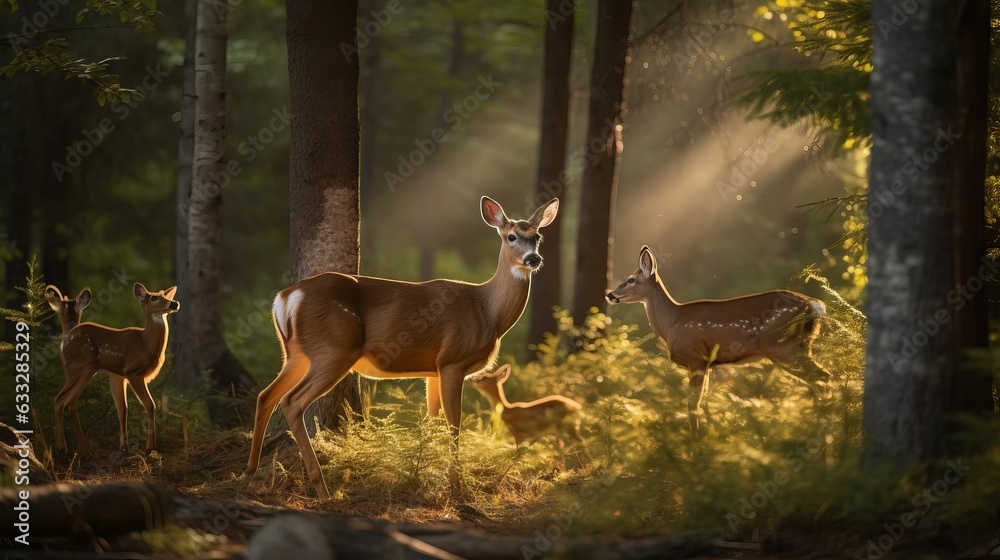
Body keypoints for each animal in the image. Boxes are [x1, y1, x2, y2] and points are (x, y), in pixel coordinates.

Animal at [54, 282, 181, 458]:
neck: (145, 345)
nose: (174, 304)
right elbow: (150, 405)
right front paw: (150, 448)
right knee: (62, 400)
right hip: (83, 367)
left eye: (166, 296)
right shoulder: (133, 372)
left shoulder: (118, 376)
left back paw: (77, 450)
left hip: (80, 370)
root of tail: (64, 341)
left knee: (67, 402)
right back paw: (66, 449)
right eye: (154, 298)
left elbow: (122, 409)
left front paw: (124, 447)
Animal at [240, 197, 556, 498]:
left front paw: (426, 475)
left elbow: (432, 420)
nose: (534, 258)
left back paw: (248, 473)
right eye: (511, 236)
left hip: (296, 354)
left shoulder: (433, 370)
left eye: (538, 236)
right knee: (292, 401)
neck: (488, 312)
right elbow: (454, 425)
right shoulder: (453, 361)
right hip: (333, 351)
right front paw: (456, 488)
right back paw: (322, 490)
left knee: (266, 395)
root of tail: (285, 297)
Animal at [604, 246, 832, 438]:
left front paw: (695, 446)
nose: (610, 294)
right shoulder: (706, 364)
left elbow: (692, 405)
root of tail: (816, 306)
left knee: (822, 377)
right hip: (799, 345)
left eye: (631, 279)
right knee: (820, 380)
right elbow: (703, 401)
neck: (672, 323)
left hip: (784, 346)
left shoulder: (696, 358)